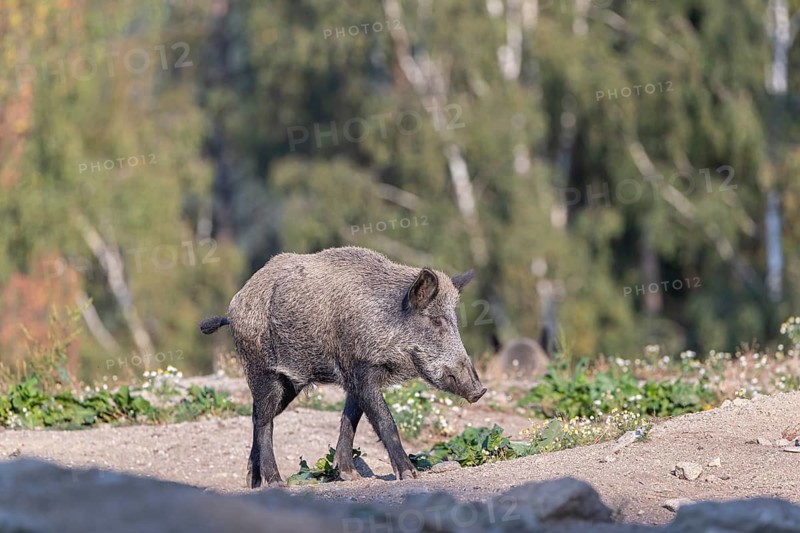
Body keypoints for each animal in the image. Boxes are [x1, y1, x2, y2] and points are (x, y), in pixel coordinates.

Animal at [199, 246, 486, 487]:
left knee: (256, 415)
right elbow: (385, 420)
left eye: (454, 321)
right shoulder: (361, 370)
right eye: (435, 320)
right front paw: (409, 475)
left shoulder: (353, 376)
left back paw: (253, 482)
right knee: (263, 420)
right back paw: (276, 483)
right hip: (262, 370)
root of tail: (234, 306)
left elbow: (350, 419)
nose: (479, 390)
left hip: (289, 383)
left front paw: (350, 476)